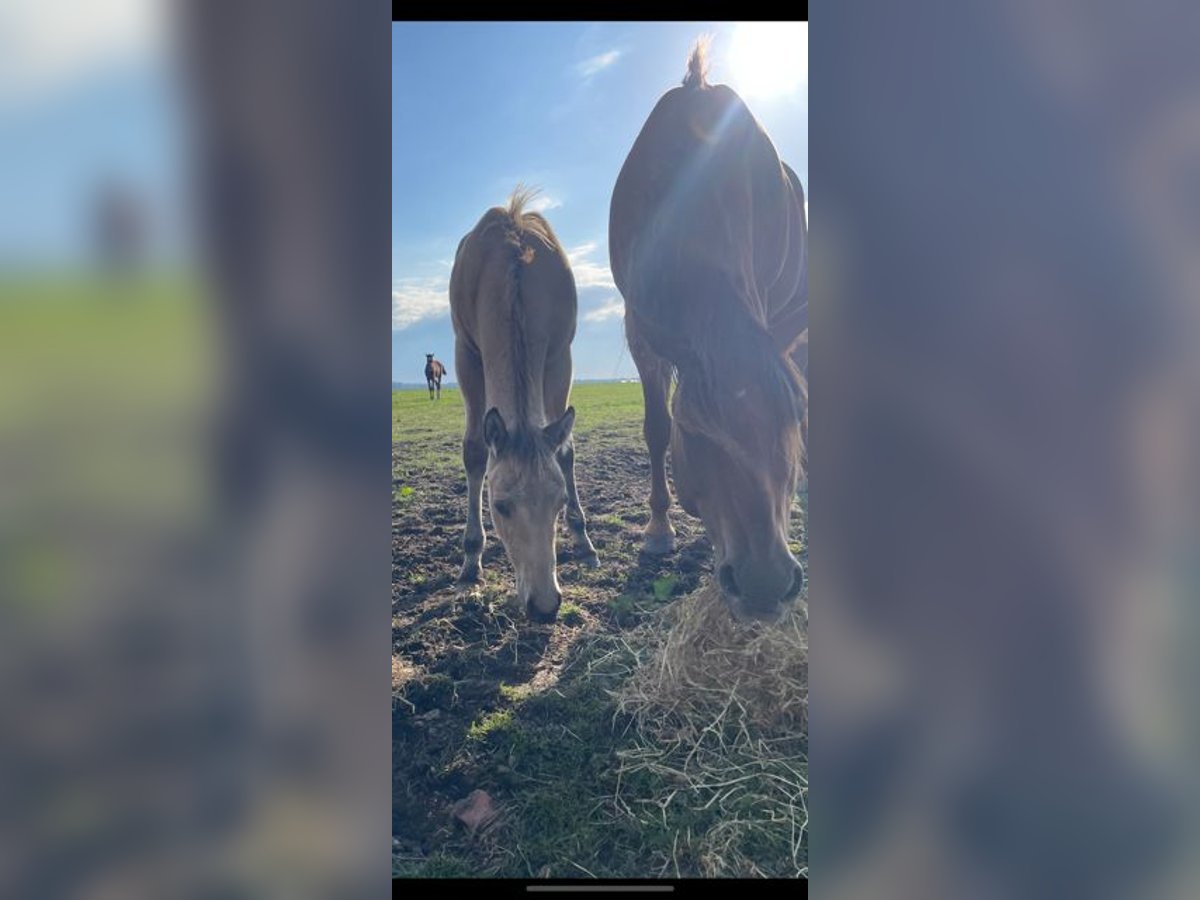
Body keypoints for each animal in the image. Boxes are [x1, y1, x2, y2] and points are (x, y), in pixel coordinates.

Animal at [451, 188, 600, 628]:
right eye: (500, 505)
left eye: (560, 501)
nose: (545, 606)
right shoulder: (466, 354)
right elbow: (475, 451)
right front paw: (470, 561)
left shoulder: (560, 356)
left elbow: (565, 449)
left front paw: (583, 539)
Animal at [609, 38, 806, 624]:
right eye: (695, 432)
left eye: (794, 417)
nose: (766, 584)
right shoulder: (642, 330)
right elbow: (655, 427)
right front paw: (657, 529)